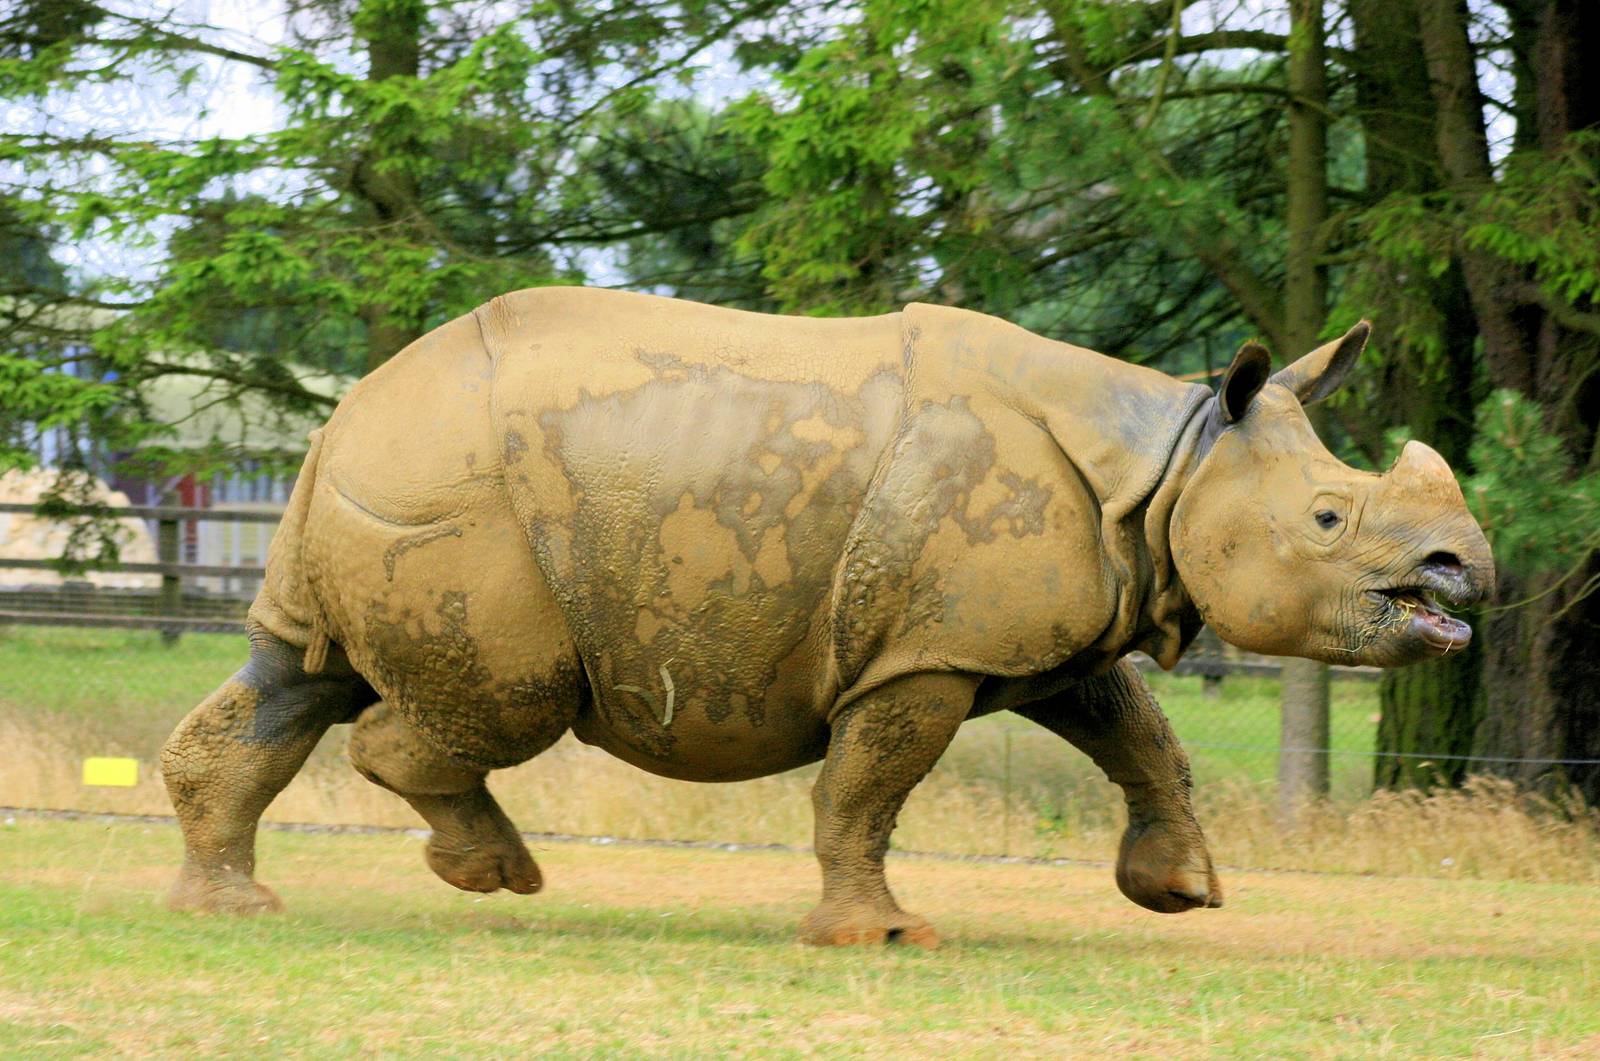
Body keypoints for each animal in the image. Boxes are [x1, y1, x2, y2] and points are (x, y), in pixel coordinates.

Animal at [161, 287, 1493, 945]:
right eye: (1328, 516)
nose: (1465, 567)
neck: (1166, 461)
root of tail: (348, 407)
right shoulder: (927, 651)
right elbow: (867, 787)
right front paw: (879, 937)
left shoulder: (1043, 625)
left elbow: (1136, 731)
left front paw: (1177, 893)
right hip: (464, 499)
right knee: (485, 703)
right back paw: (493, 874)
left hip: (381, 488)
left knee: (295, 675)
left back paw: (234, 909)